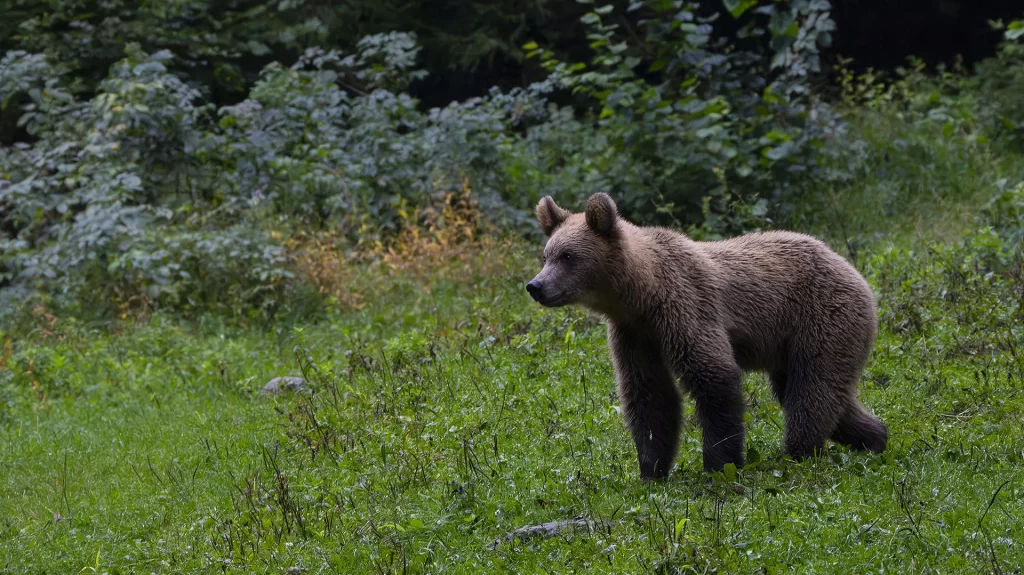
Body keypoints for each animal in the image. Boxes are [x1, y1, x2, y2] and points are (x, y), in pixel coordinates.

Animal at [526, 192, 888, 479]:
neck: (642, 293)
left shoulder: (685, 307)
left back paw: (801, 452)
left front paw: (720, 465)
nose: (536, 286)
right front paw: (651, 469)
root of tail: (854, 271)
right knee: (814, 392)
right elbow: (649, 394)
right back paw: (875, 436)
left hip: (821, 318)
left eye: (568, 256)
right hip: (794, 343)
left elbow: (713, 377)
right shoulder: (636, 334)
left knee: (813, 389)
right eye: (546, 255)